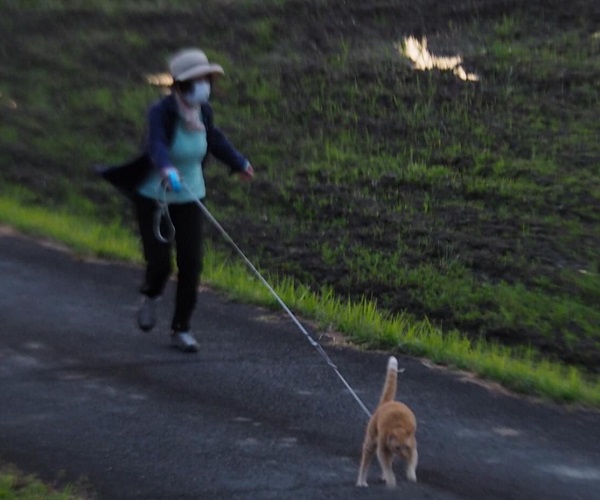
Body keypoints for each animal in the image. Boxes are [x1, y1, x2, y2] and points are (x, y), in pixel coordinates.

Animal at [356, 356, 418, 488]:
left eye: (405, 447)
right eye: (398, 447)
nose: (403, 456)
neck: (399, 426)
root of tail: (388, 402)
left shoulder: (413, 448)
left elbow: (412, 463)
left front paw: (411, 475)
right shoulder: (382, 450)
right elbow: (387, 467)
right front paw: (391, 480)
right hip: (370, 443)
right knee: (365, 463)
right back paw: (362, 482)